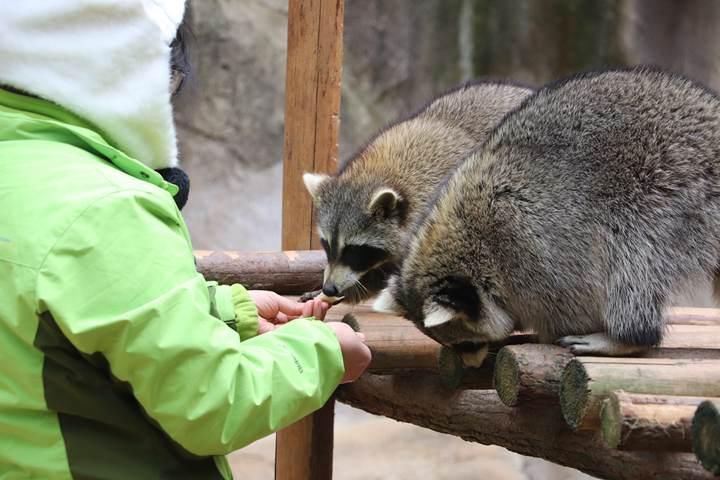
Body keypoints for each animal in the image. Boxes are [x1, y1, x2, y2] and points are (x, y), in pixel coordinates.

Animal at [374, 67, 720, 366]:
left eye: (467, 343)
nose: (470, 364)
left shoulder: (535, 250)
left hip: (673, 193)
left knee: (635, 257)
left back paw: (629, 335)